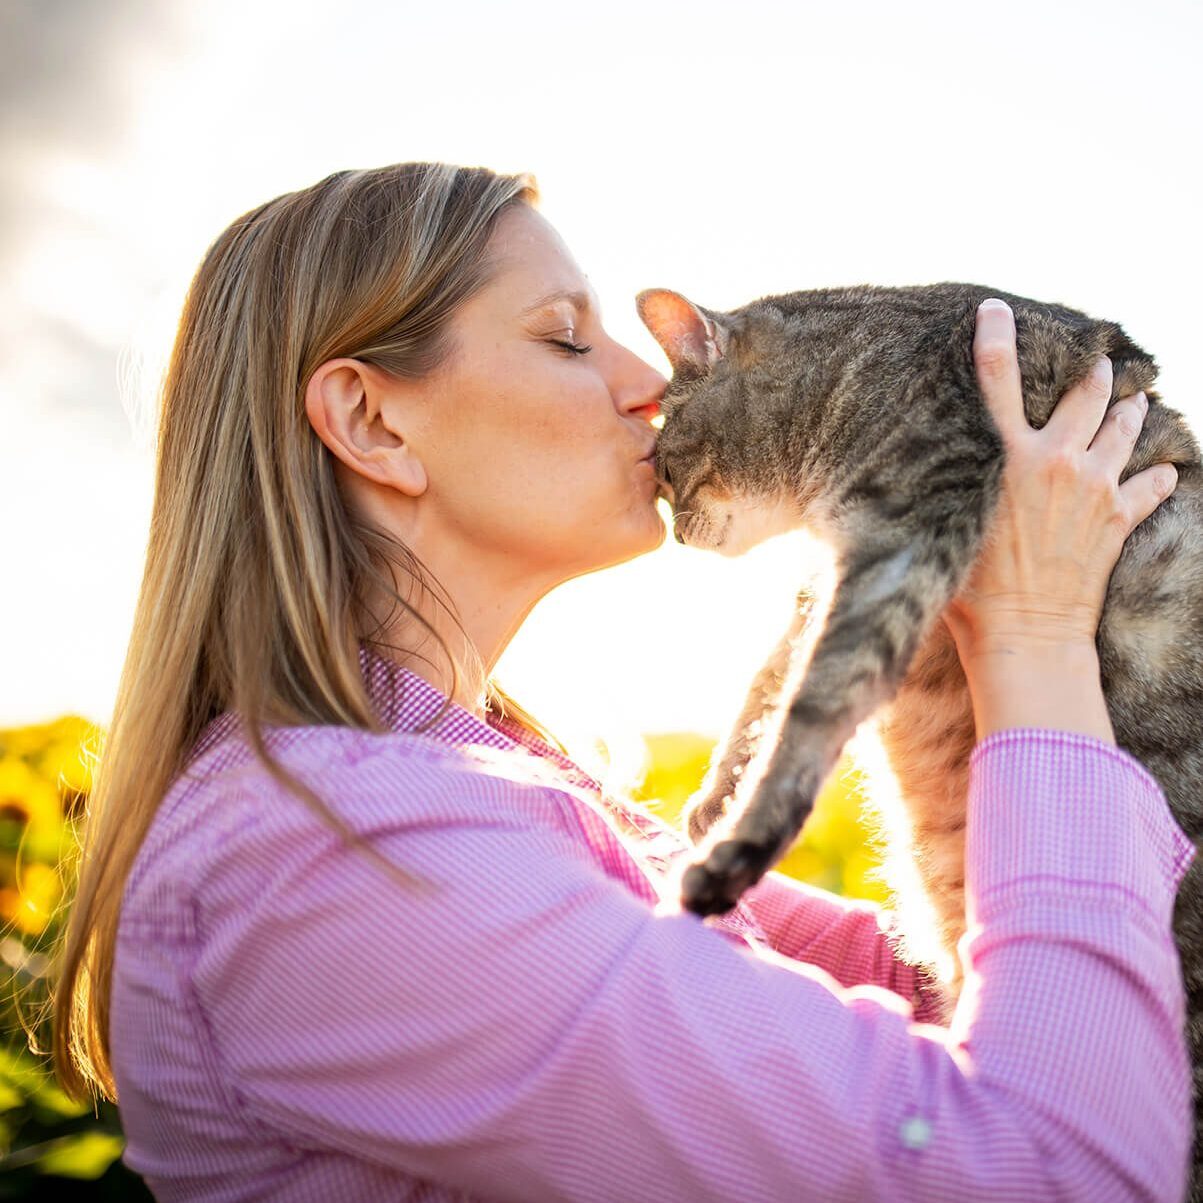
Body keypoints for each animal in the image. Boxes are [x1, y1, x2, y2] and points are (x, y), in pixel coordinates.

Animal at [635, 281, 1198, 1193]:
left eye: (662, 463)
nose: (675, 530)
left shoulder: (903, 539)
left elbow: (812, 695)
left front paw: (732, 848)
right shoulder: (833, 567)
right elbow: (771, 673)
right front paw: (717, 791)